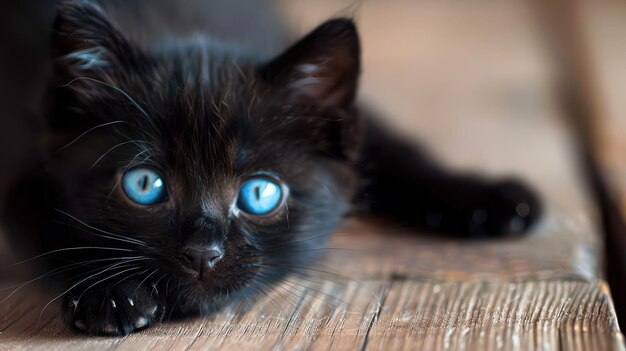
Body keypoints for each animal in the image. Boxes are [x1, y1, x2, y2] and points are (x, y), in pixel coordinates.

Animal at [2, 0, 536, 336]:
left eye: (259, 194)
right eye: (145, 185)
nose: (203, 253)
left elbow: (397, 147)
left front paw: (487, 198)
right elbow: (48, 230)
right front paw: (108, 292)